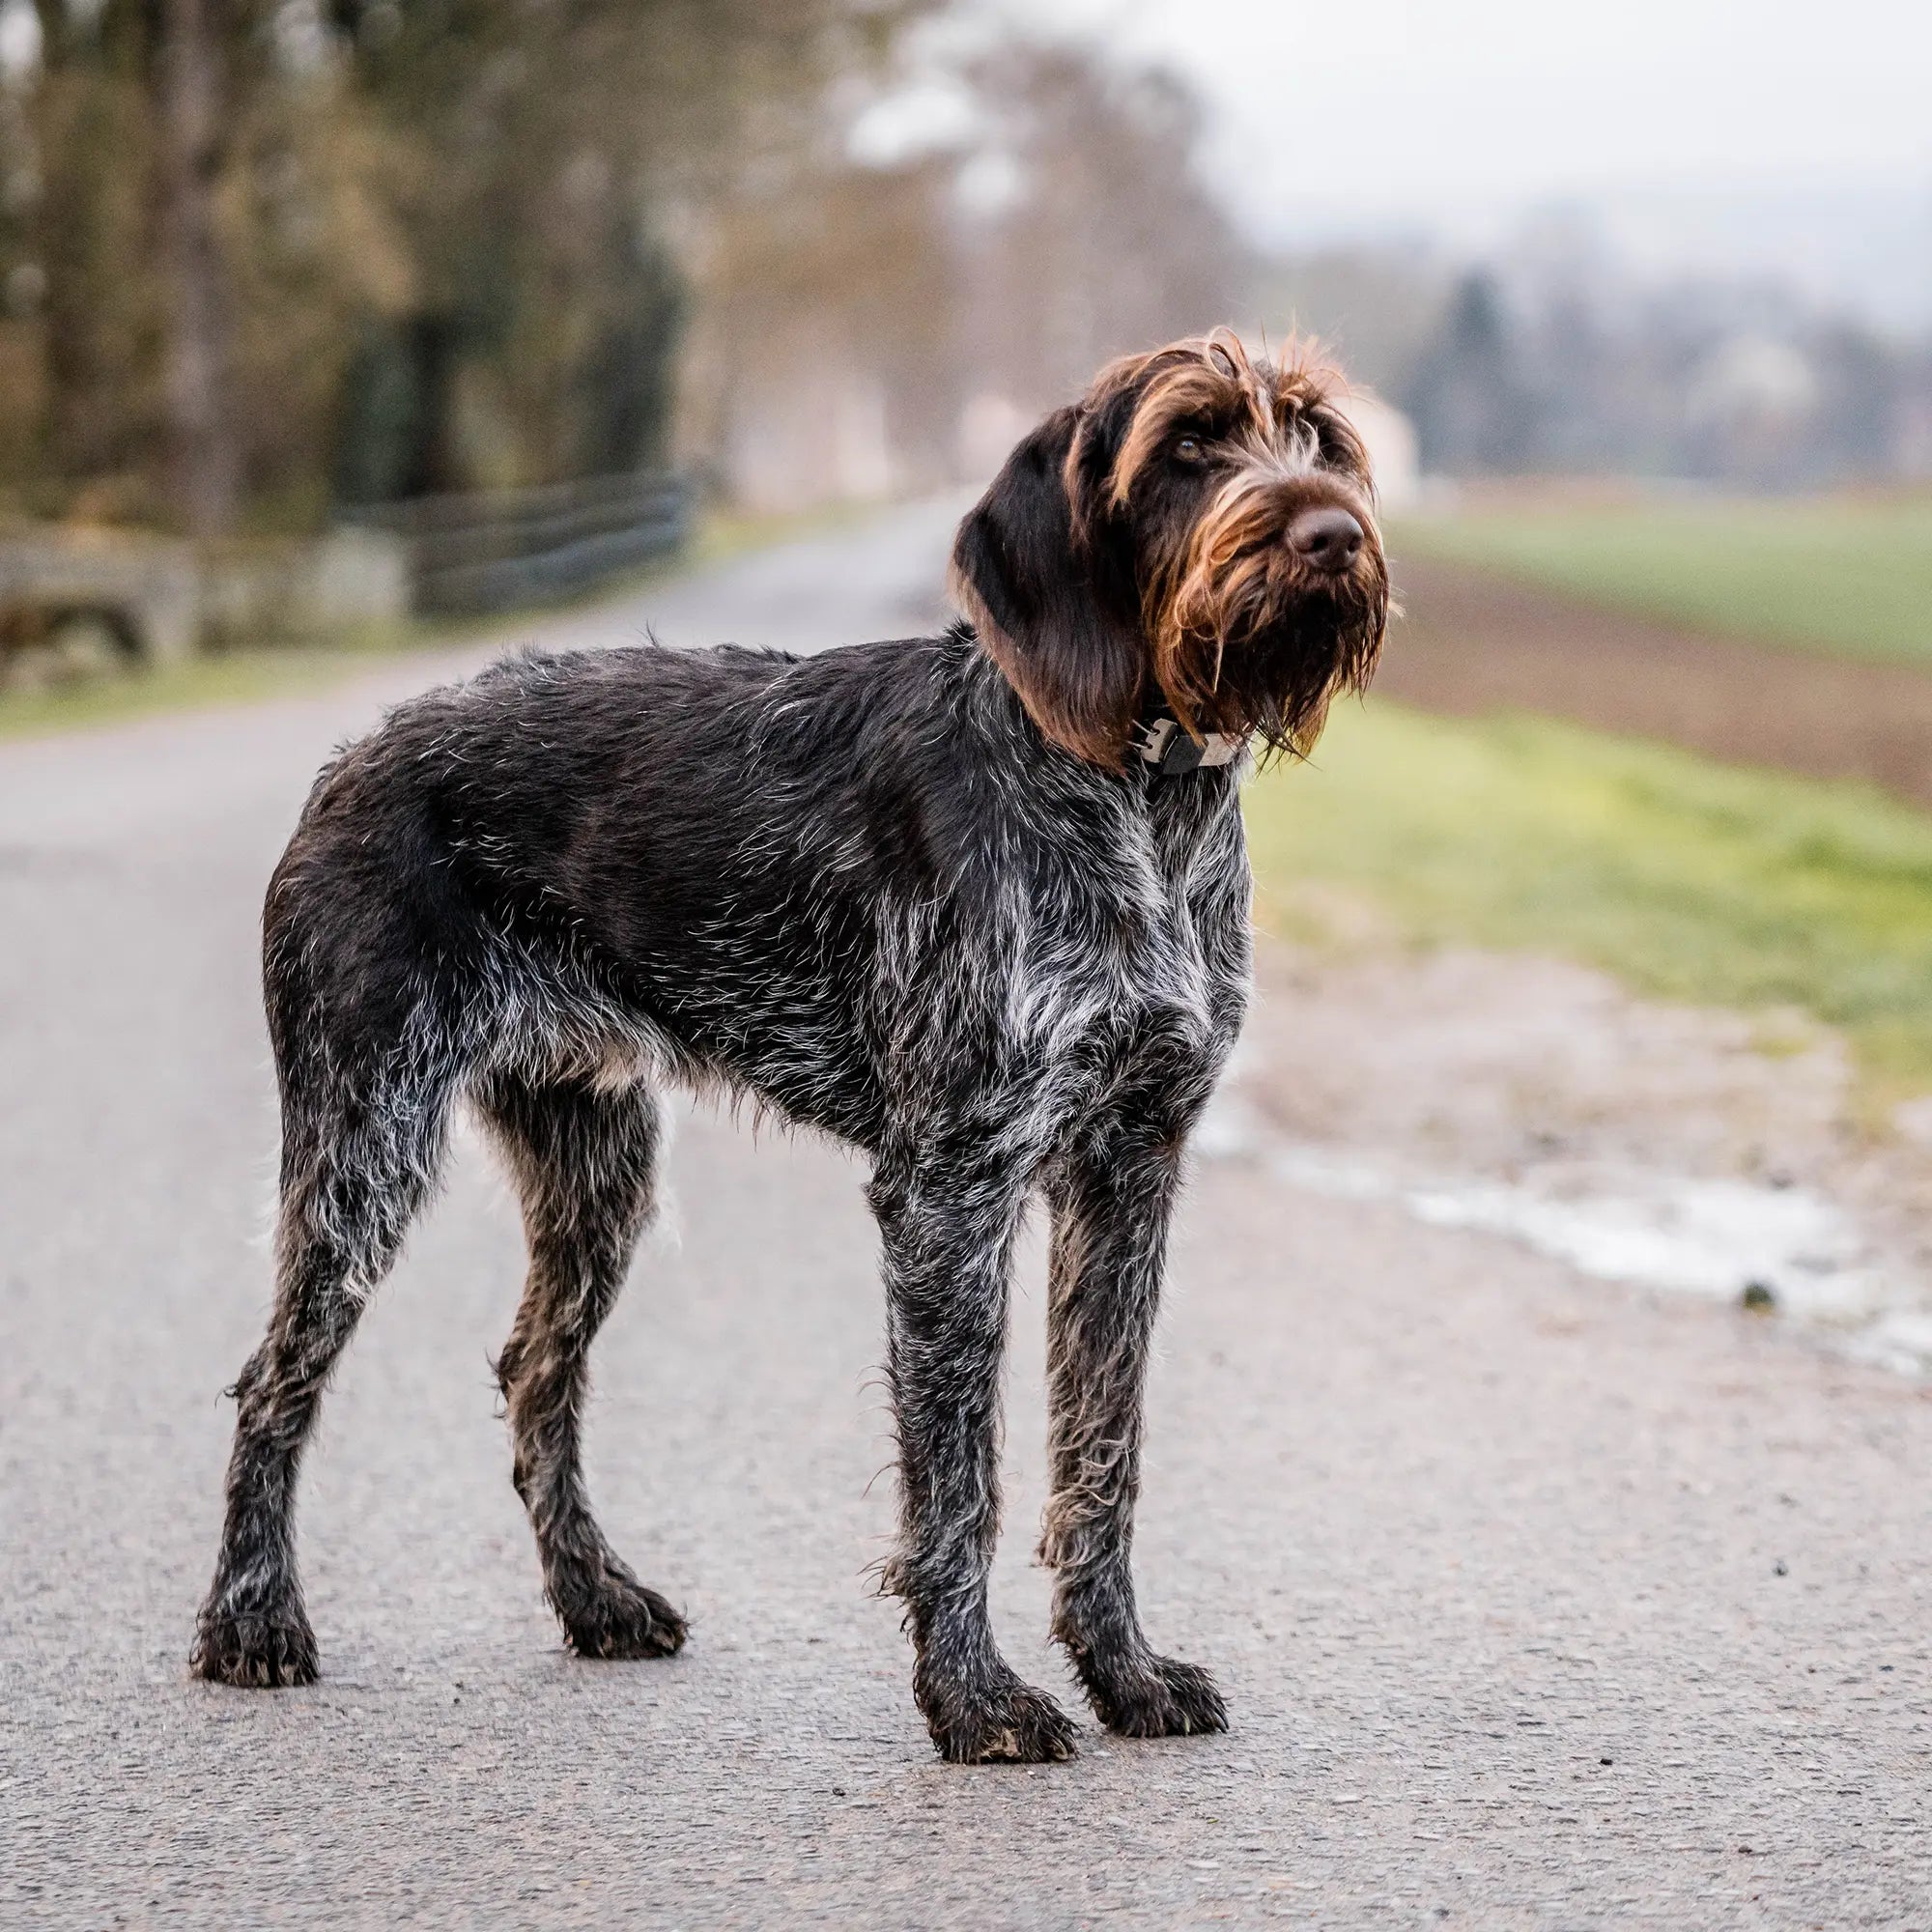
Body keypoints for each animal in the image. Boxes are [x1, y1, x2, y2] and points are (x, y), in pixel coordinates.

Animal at [188, 336, 1383, 1770]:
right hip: (366, 1141)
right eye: (1191, 443)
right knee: (275, 1378)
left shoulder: (1129, 1167)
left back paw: (596, 1598)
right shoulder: (953, 1181)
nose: (1332, 534)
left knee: (536, 1374)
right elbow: (960, 1474)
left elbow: (1105, 1450)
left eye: (1317, 436)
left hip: (595, 1170)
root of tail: (349, 760)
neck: (1142, 789)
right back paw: (251, 1620)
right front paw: (975, 1699)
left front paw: (1123, 1672)